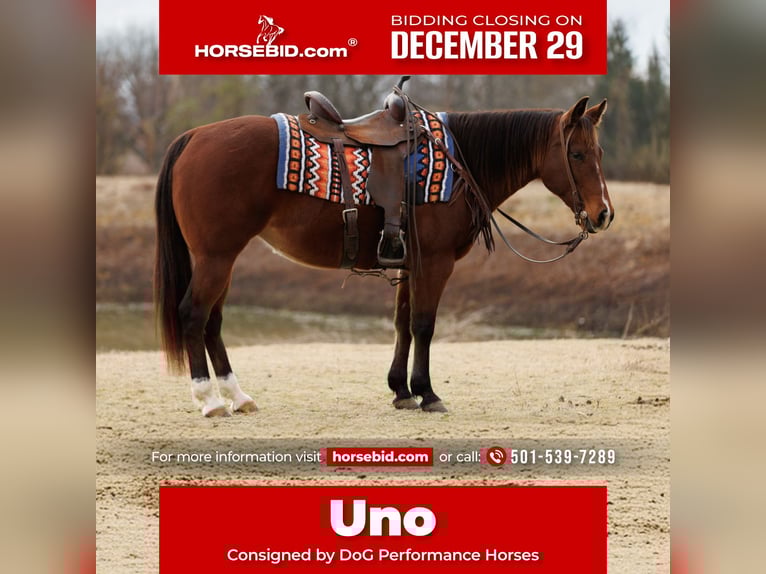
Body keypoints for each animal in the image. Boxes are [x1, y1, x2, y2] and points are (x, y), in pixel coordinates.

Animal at [154, 95, 612, 417]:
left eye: (600, 153)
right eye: (576, 154)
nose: (603, 214)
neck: (458, 163)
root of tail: (194, 136)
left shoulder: (410, 264)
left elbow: (402, 324)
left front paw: (401, 391)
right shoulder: (436, 263)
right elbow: (424, 326)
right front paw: (427, 392)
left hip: (223, 259)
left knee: (213, 321)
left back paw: (238, 395)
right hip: (215, 257)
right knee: (193, 314)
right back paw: (209, 399)